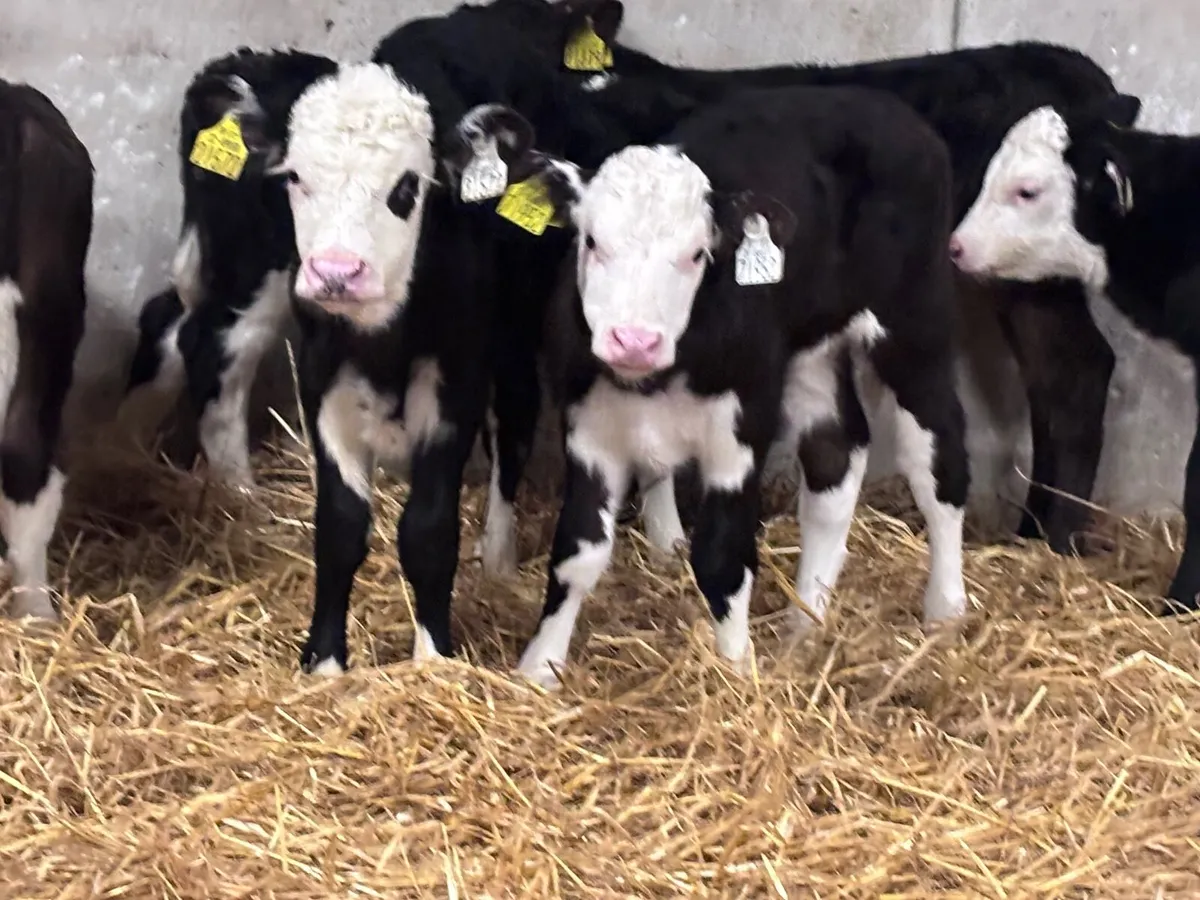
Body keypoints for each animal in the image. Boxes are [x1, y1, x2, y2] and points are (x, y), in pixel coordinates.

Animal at [466, 85, 970, 688]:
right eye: (591, 242)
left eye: (696, 254)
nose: (634, 339)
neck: (656, 379)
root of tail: (878, 103)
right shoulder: (589, 427)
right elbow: (578, 550)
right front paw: (539, 667)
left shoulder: (741, 428)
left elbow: (723, 558)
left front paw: (734, 669)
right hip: (808, 350)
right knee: (835, 454)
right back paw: (805, 622)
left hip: (915, 323)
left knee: (938, 460)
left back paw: (945, 611)